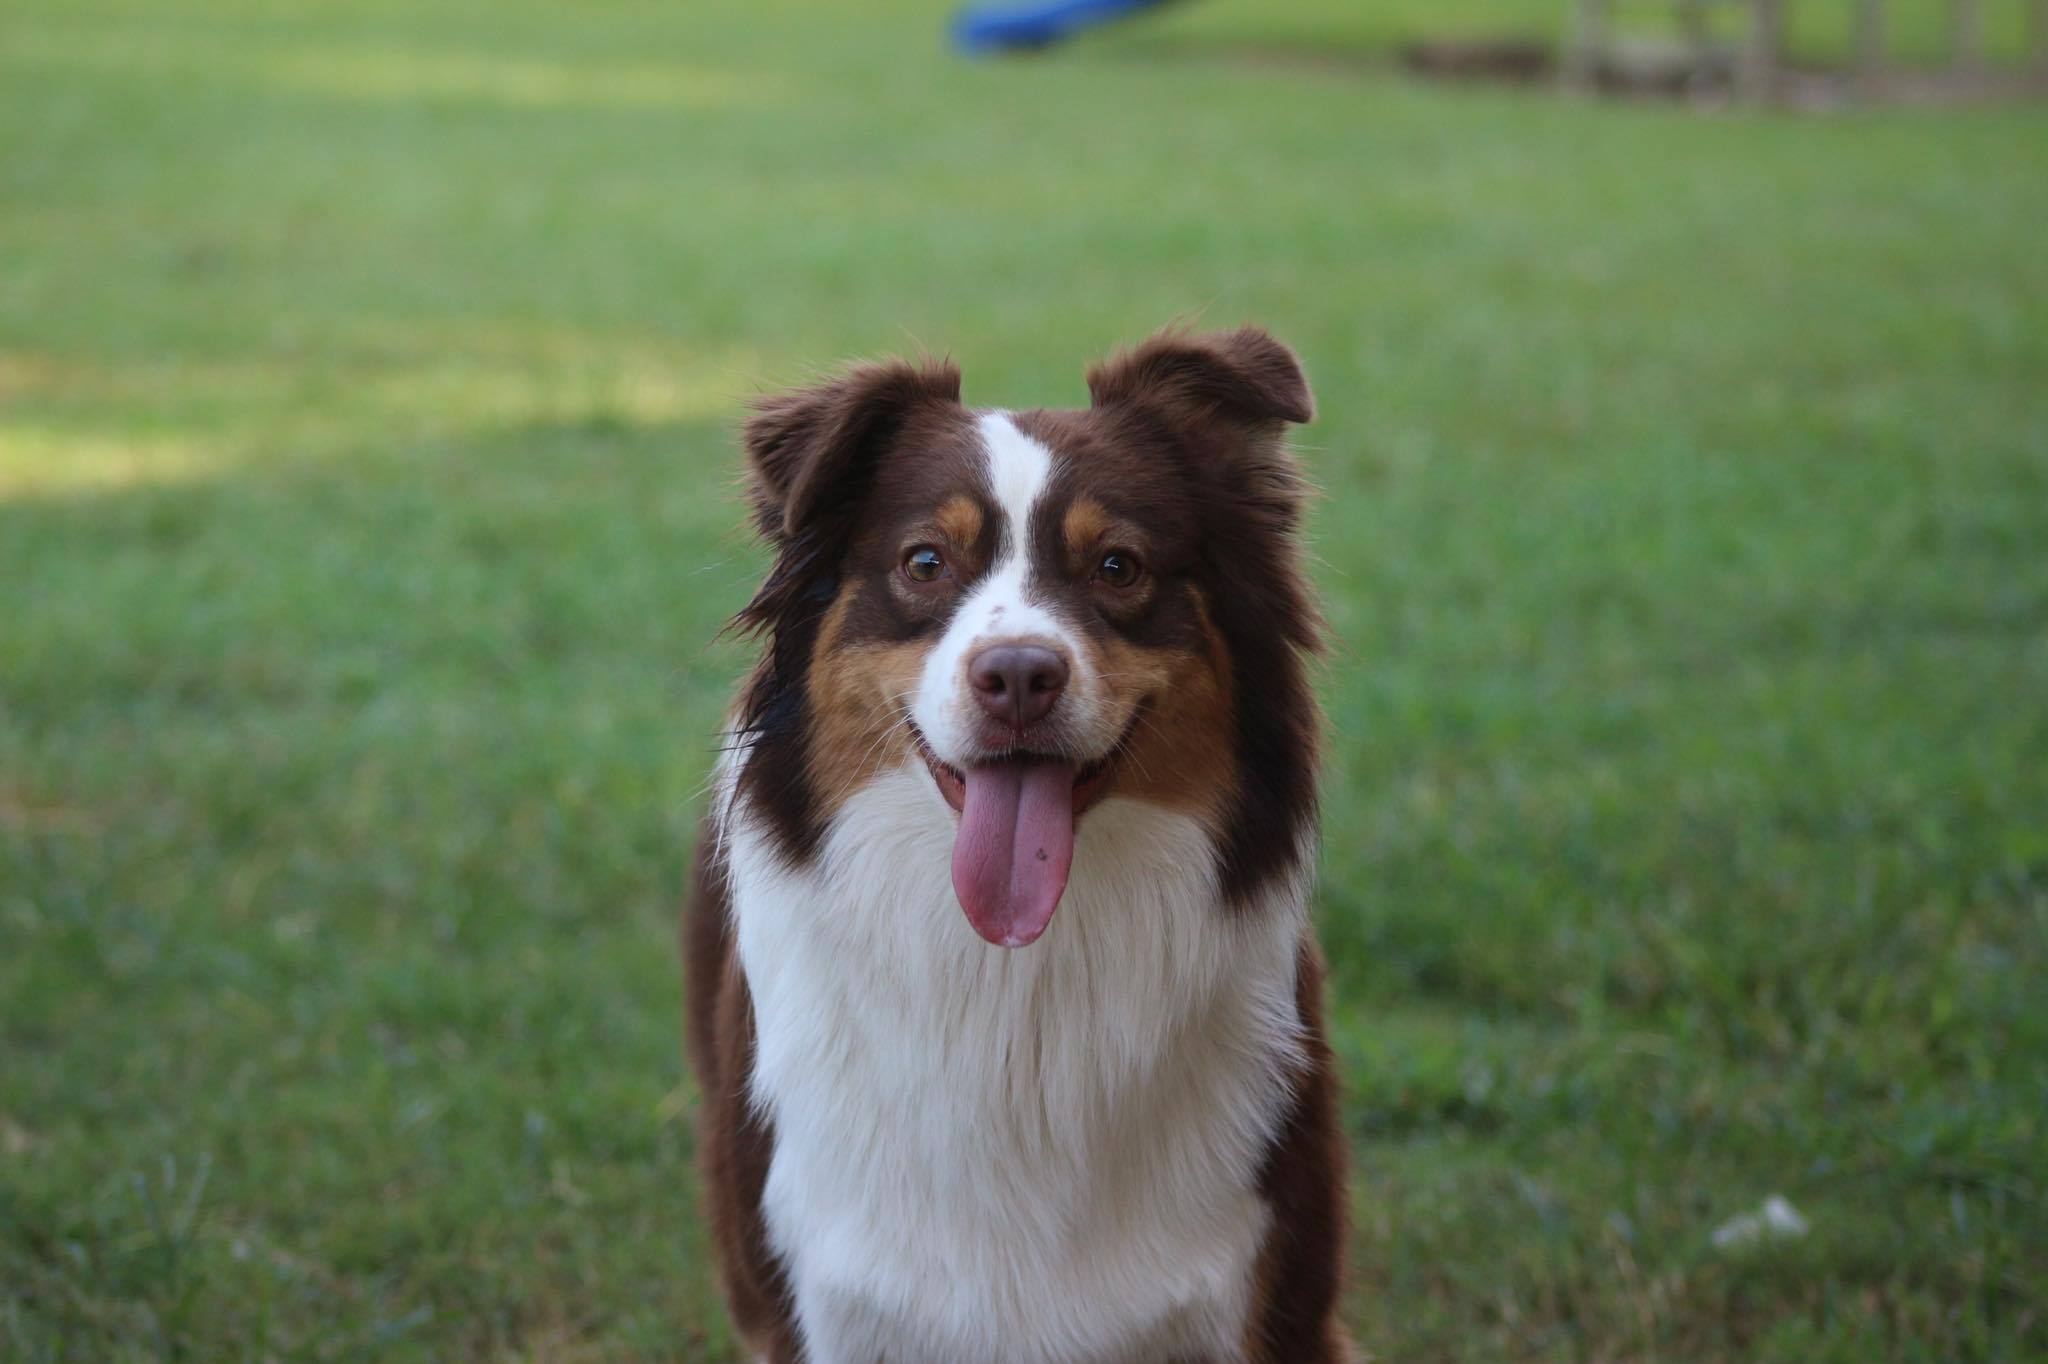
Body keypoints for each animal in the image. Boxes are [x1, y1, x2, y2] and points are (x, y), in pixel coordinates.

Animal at [688, 323, 1351, 1351]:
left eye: (1118, 566)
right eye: (925, 563)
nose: (1018, 677)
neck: (1016, 980)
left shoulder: (1276, 1302)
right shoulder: (817, 1305)